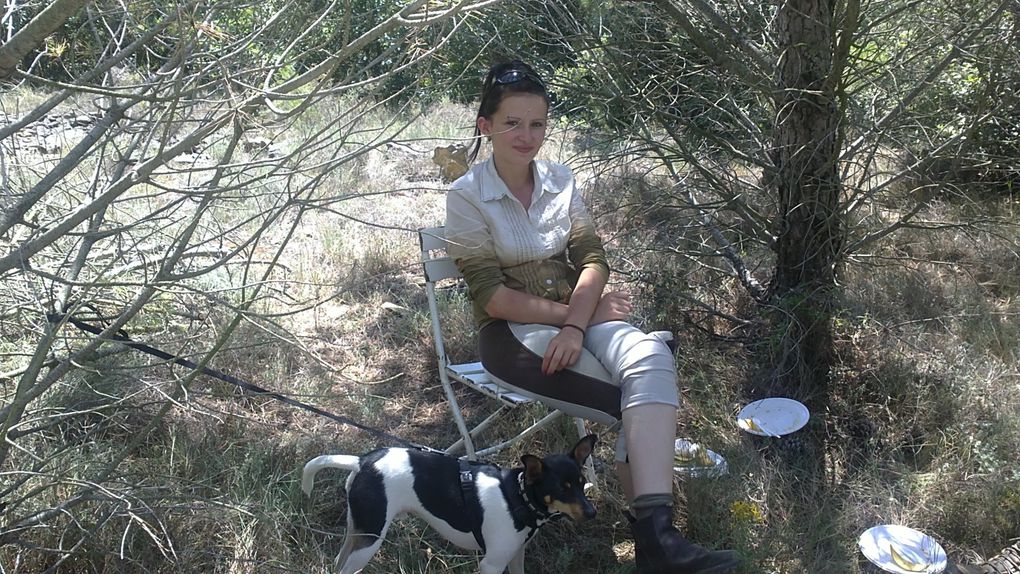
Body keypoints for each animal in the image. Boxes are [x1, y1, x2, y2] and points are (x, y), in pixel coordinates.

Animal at [297, 436, 595, 574]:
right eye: (562, 489)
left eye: (582, 484)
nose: (592, 513)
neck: (517, 497)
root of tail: (362, 462)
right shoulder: (491, 564)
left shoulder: (515, 555)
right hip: (370, 538)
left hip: (357, 530)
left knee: (339, 561)